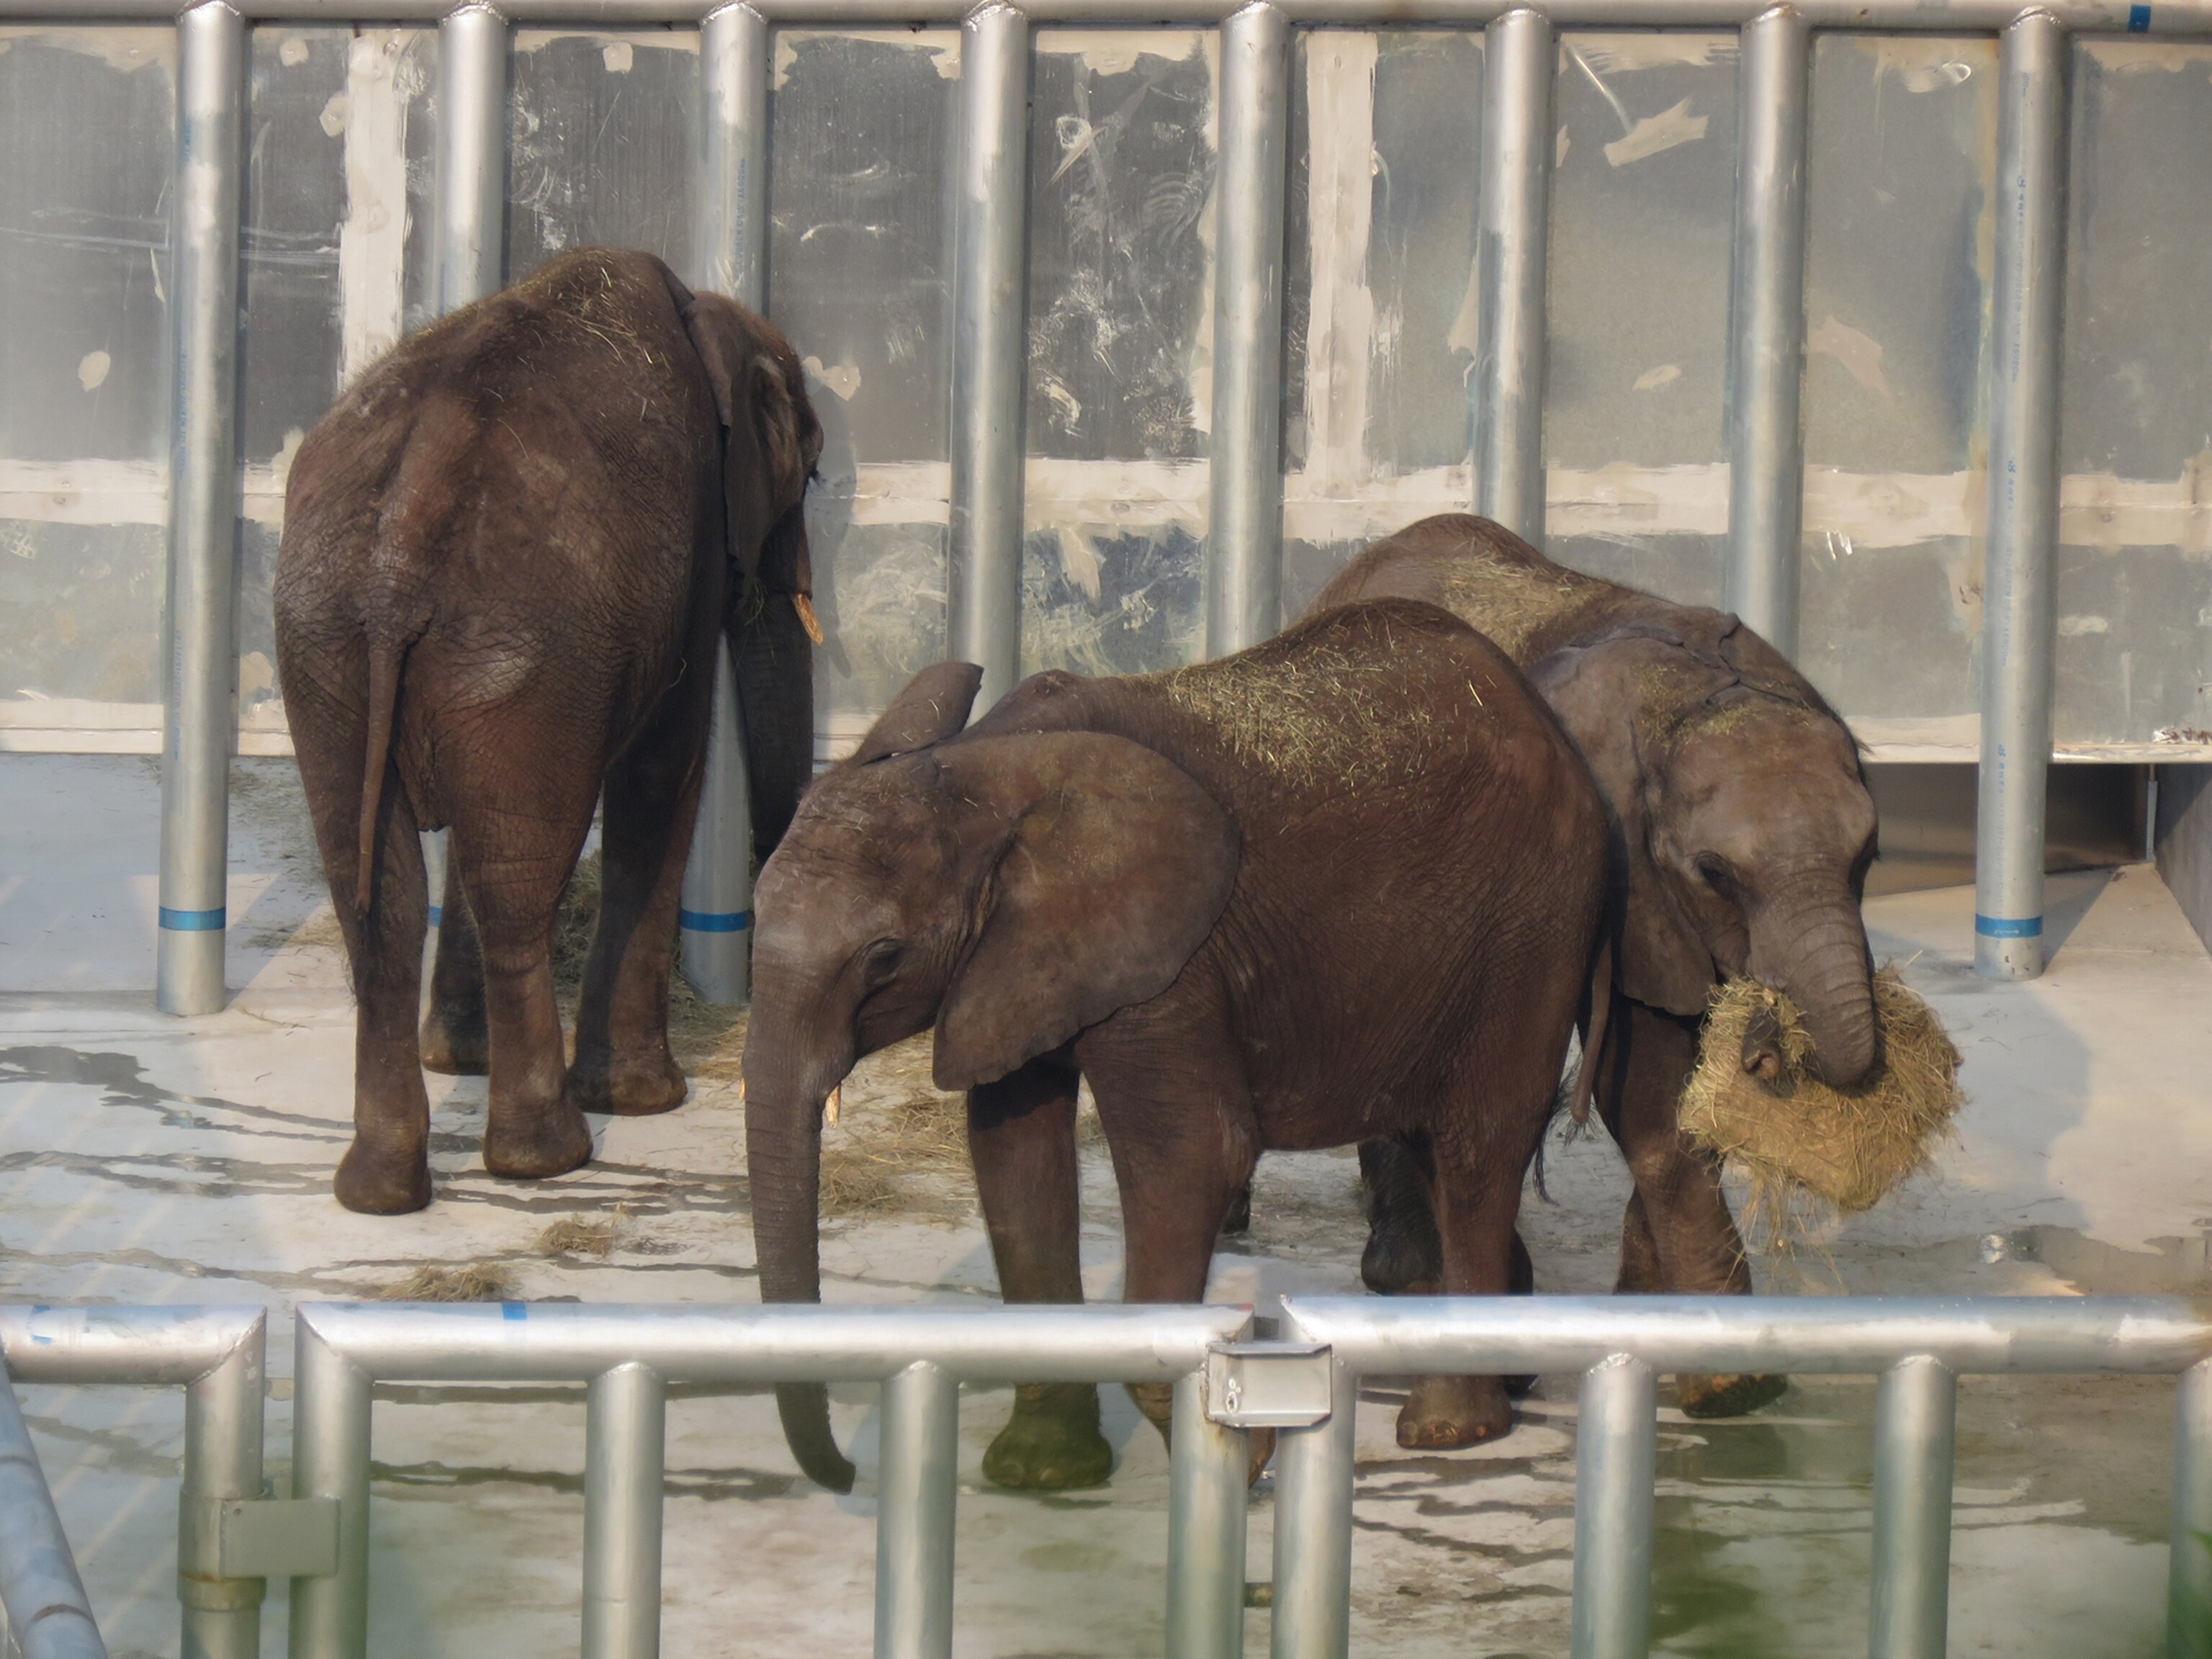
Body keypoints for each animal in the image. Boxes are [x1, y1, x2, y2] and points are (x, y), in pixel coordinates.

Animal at [275, 246, 823, 1215]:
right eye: (813, 467)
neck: (704, 314)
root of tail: (400, 542)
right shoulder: (692, 540)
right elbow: (664, 766)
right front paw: (645, 1101)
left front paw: (460, 1057)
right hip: (518, 648)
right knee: (513, 879)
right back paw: (549, 1156)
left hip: (333, 649)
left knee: (379, 887)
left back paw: (380, 1190)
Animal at [742, 597, 1614, 1494]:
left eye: (883, 956)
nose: (850, 1476)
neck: (983, 766)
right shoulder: (1020, 960)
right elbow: (1014, 1162)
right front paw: (1042, 1473)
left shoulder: (1174, 949)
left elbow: (1191, 1155)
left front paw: (1246, 1445)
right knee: (1432, 1139)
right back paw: (1506, 1378)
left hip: (1533, 925)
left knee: (1478, 1145)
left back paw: (1448, 1426)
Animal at [1306, 514, 1879, 1417]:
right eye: (1716, 873)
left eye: (1870, 855)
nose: (1766, 1046)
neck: (1695, 701)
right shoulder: (1619, 864)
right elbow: (1641, 1083)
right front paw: (1732, 1387)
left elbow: (1682, 1086)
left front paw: (1652, 1316)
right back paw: (1420, 1286)